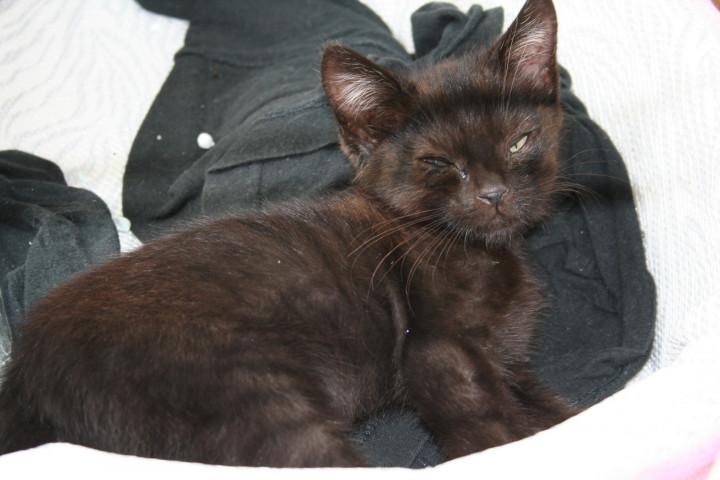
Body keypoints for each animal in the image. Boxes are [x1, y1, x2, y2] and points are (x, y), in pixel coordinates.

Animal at [0, 0, 576, 467]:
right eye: (438, 162)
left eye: (519, 142)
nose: (494, 194)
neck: (476, 249)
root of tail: (26, 374)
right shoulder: (439, 353)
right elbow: (493, 430)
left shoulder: (510, 362)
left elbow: (558, 412)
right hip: (252, 402)